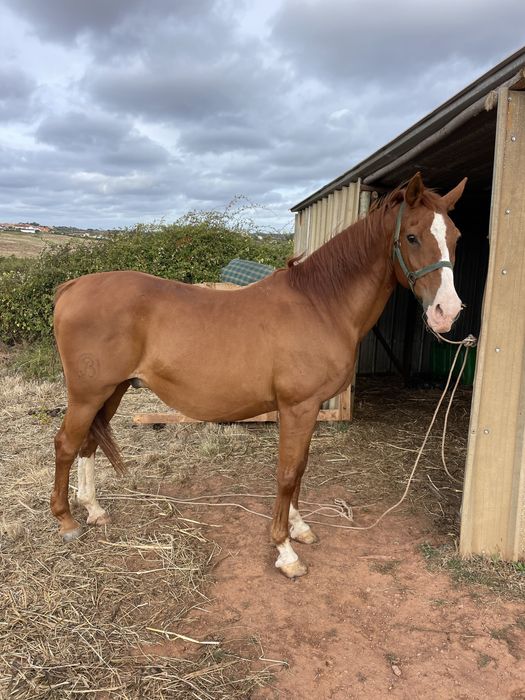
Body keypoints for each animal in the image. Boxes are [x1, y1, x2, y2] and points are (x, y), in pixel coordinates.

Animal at [51, 172, 466, 578]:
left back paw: (94, 510)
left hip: (112, 391)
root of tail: (71, 287)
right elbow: (287, 472)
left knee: (88, 443)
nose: (447, 312)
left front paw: (299, 527)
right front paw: (285, 551)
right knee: (66, 444)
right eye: (412, 236)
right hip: (88, 393)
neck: (320, 304)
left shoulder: (308, 409)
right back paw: (67, 522)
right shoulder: (298, 407)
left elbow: (301, 466)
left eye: (456, 237)